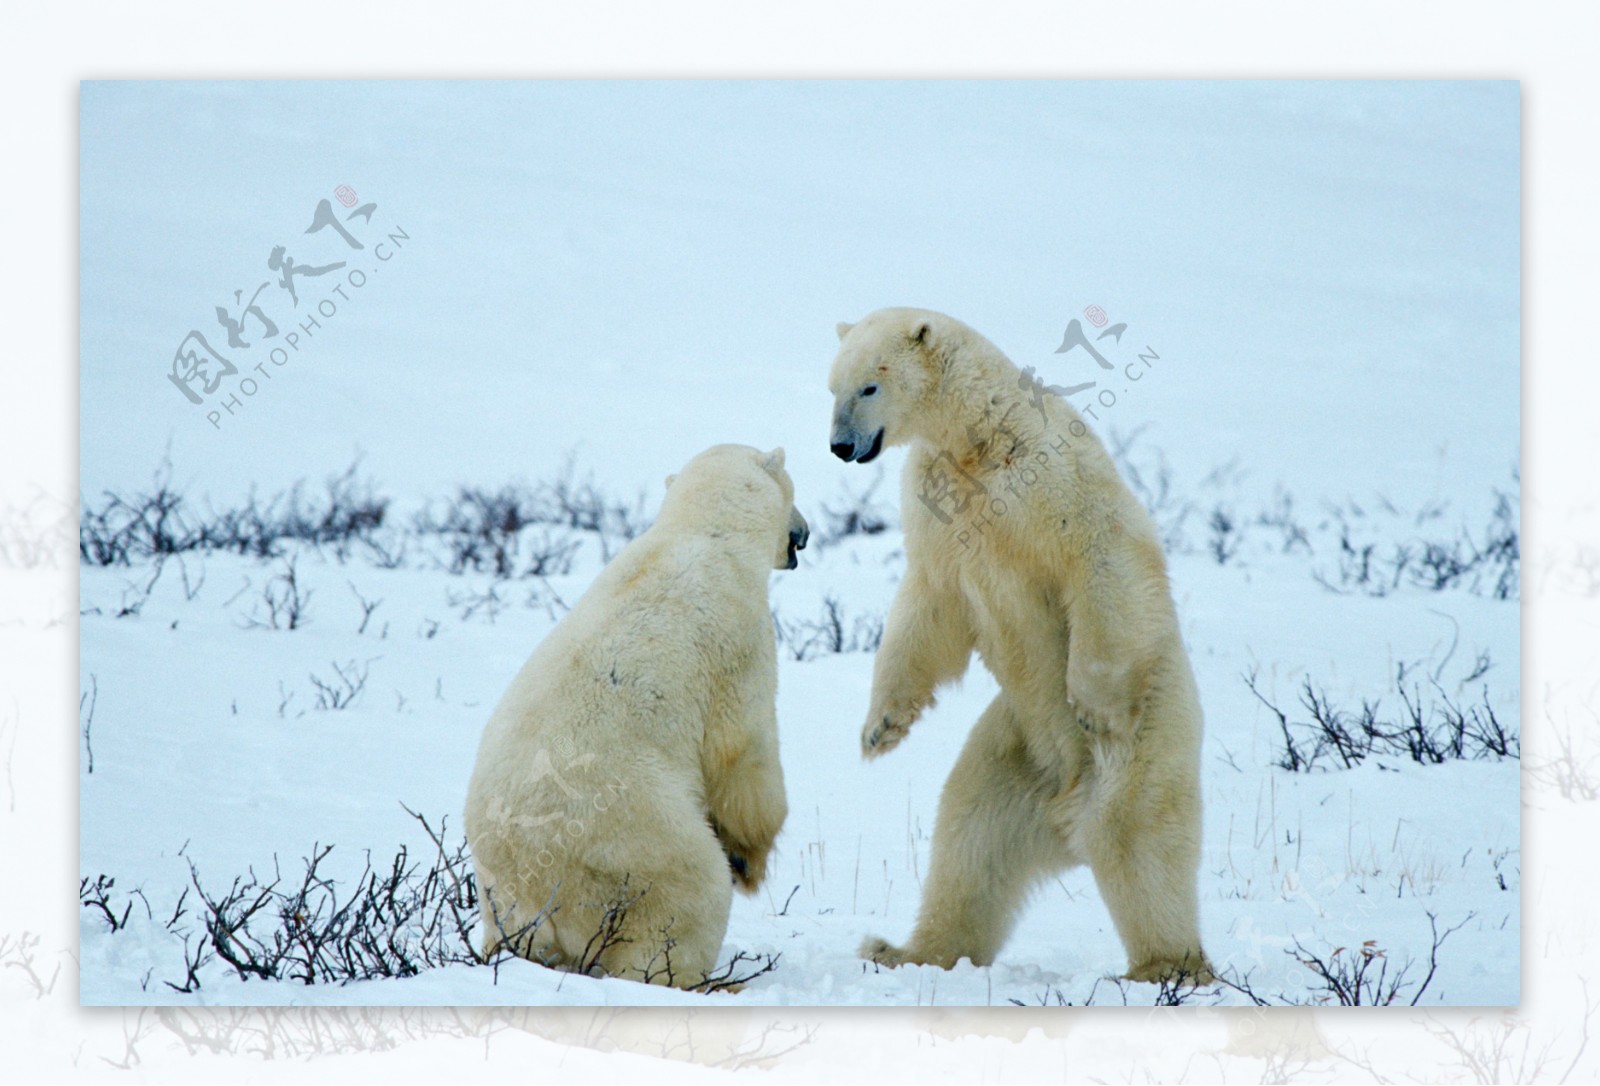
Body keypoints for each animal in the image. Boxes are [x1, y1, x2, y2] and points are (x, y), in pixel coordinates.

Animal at [467, 444, 806, 991]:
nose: (804, 533)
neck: (704, 533)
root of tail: (538, 892)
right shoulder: (741, 636)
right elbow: (743, 752)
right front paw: (750, 860)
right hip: (632, 836)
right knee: (687, 894)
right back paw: (708, 980)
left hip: (500, 895)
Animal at [825, 305, 1209, 985]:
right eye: (831, 389)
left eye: (869, 386)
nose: (840, 447)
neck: (981, 437)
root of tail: (1064, 817)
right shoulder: (937, 500)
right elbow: (929, 602)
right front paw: (880, 729)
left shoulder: (1055, 476)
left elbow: (1101, 556)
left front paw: (1093, 703)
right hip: (1014, 751)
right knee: (969, 839)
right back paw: (907, 951)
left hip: (1149, 734)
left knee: (1135, 836)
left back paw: (1166, 966)